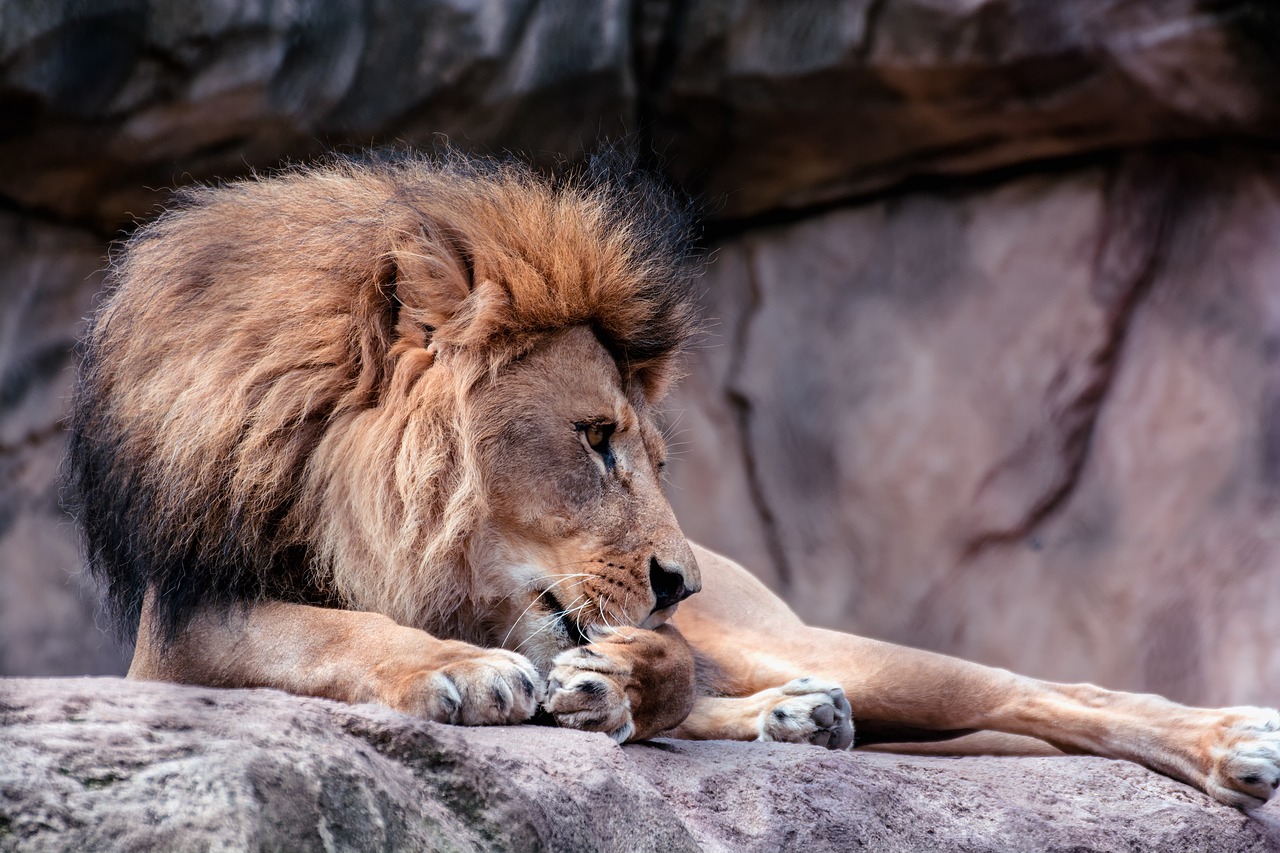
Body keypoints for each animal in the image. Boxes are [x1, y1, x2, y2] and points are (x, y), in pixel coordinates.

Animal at [67, 149, 1280, 809]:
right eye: (595, 440)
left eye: (648, 456)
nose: (676, 581)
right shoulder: (178, 626)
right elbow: (317, 628)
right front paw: (466, 669)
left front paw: (561, 676)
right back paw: (773, 713)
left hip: (800, 635)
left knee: (1032, 689)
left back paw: (1234, 744)